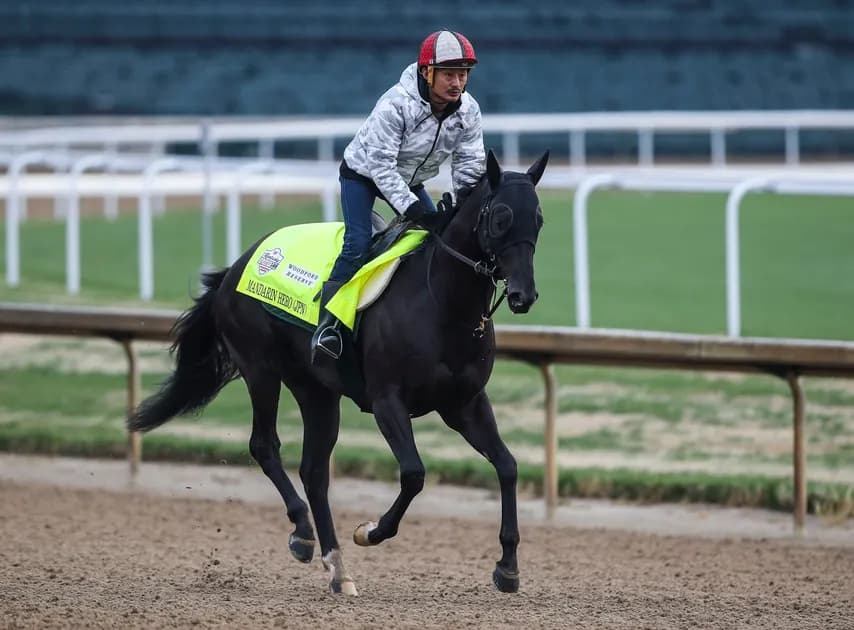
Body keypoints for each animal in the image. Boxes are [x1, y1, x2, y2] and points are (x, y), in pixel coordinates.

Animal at [129, 148, 549, 596]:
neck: (442, 303)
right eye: (501, 217)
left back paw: (337, 568)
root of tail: (236, 267)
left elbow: (507, 466)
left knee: (314, 471)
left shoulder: (464, 402)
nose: (523, 294)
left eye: (538, 218)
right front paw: (370, 530)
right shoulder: (387, 401)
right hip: (260, 368)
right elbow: (414, 474)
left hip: (317, 391)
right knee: (265, 446)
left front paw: (507, 566)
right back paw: (302, 533)